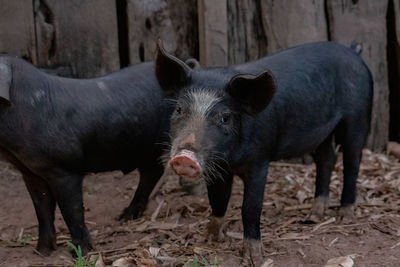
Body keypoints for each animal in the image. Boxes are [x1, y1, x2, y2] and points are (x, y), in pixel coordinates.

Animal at [0, 56, 180, 255]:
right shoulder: (30, 172)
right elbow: (42, 209)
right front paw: (42, 252)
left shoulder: (65, 169)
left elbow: (71, 209)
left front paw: (82, 252)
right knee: (151, 173)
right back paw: (124, 217)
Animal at [155, 40, 372, 264]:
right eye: (179, 109)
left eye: (225, 117)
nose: (184, 157)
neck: (231, 158)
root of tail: (353, 51)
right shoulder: (220, 167)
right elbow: (218, 199)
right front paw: (209, 239)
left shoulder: (260, 161)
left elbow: (250, 207)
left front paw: (254, 258)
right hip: (322, 132)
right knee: (327, 158)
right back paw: (314, 214)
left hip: (358, 116)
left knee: (352, 161)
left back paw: (345, 214)